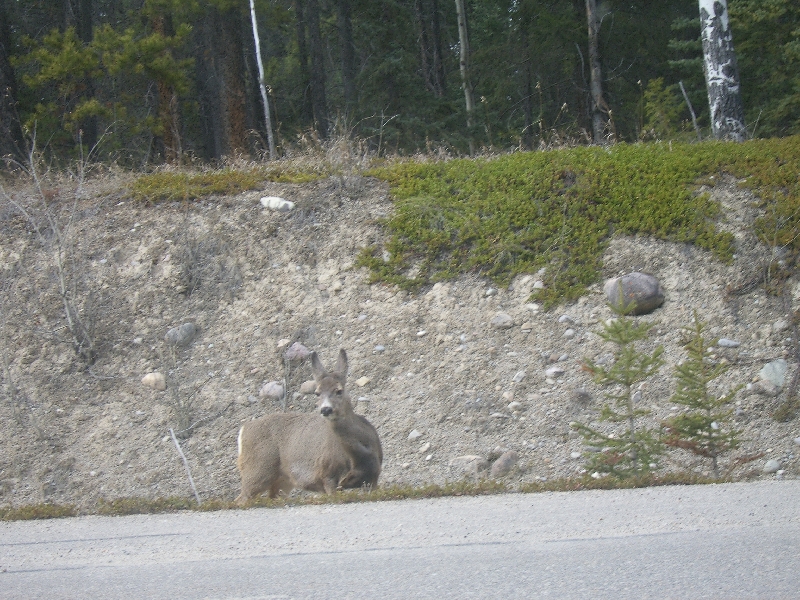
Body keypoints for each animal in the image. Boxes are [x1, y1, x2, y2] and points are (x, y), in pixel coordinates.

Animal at [234, 350, 382, 504]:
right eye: (317, 393)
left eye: (339, 391)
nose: (326, 409)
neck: (360, 456)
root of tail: (243, 429)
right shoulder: (327, 474)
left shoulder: (373, 477)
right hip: (257, 469)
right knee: (241, 499)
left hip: (283, 480)